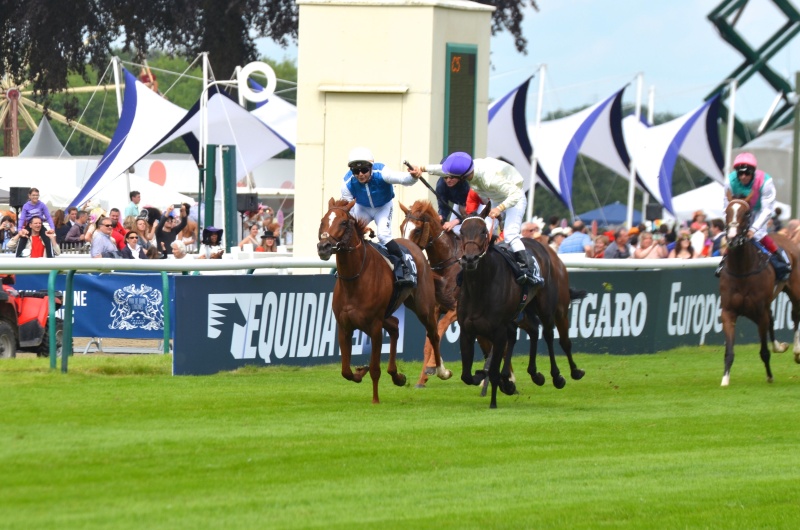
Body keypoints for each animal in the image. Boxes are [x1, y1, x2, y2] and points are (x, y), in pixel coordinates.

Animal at [316, 197, 450, 400]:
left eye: (344, 222)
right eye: (323, 220)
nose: (323, 247)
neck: (354, 279)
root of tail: (414, 246)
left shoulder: (374, 326)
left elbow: (374, 369)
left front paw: (375, 400)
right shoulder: (344, 325)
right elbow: (346, 371)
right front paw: (360, 372)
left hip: (423, 307)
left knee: (433, 334)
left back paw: (441, 371)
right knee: (395, 326)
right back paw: (397, 376)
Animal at [720, 198, 800, 384]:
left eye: (746, 213)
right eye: (727, 212)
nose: (732, 238)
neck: (742, 270)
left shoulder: (759, 312)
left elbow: (764, 351)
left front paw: (770, 376)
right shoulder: (729, 311)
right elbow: (729, 351)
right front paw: (725, 379)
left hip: (795, 291)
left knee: (796, 316)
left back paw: (797, 351)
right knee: (773, 318)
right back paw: (780, 346)